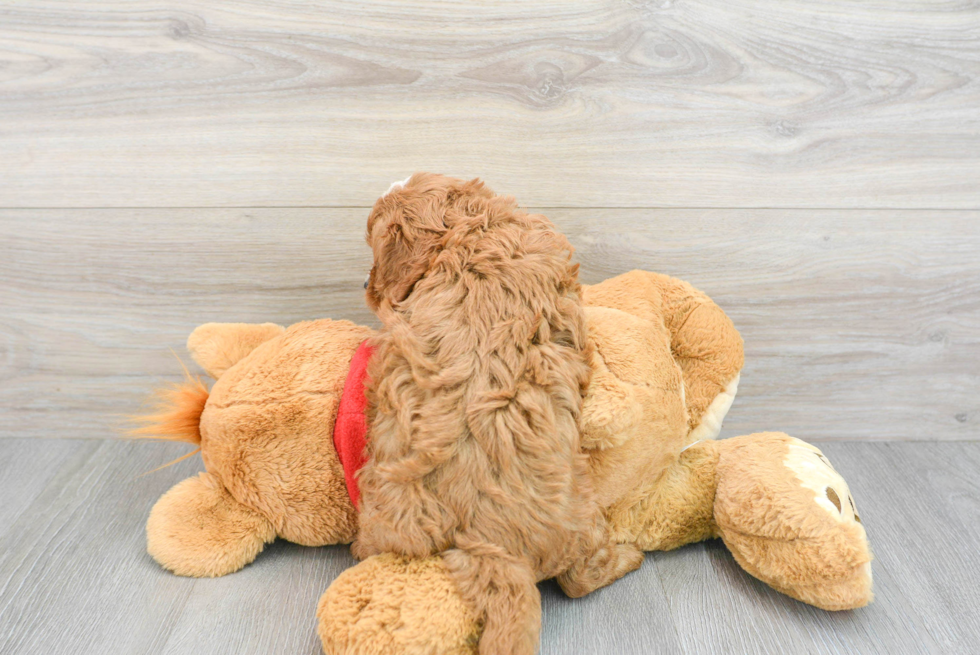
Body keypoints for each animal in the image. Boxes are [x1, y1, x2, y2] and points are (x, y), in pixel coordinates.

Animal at [352, 174, 644, 655]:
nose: (365, 287)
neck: (470, 231)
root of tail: (491, 545)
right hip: (584, 517)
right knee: (580, 579)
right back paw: (630, 556)